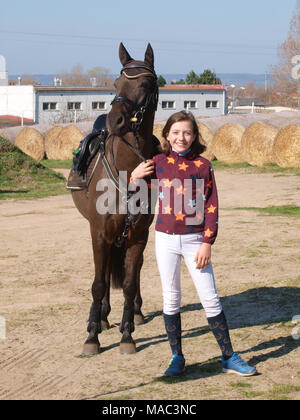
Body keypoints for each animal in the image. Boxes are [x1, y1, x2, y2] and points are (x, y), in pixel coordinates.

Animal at [71, 43, 158, 354]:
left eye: (144, 83)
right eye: (116, 83)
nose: (115, 120)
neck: (127, 170)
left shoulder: (138, 236)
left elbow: (130, 283)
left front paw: (127, 334)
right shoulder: (99, 232)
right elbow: (98, 283)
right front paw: (92, 335)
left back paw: (133, 313)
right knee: (105, 272)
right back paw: (100, 318)